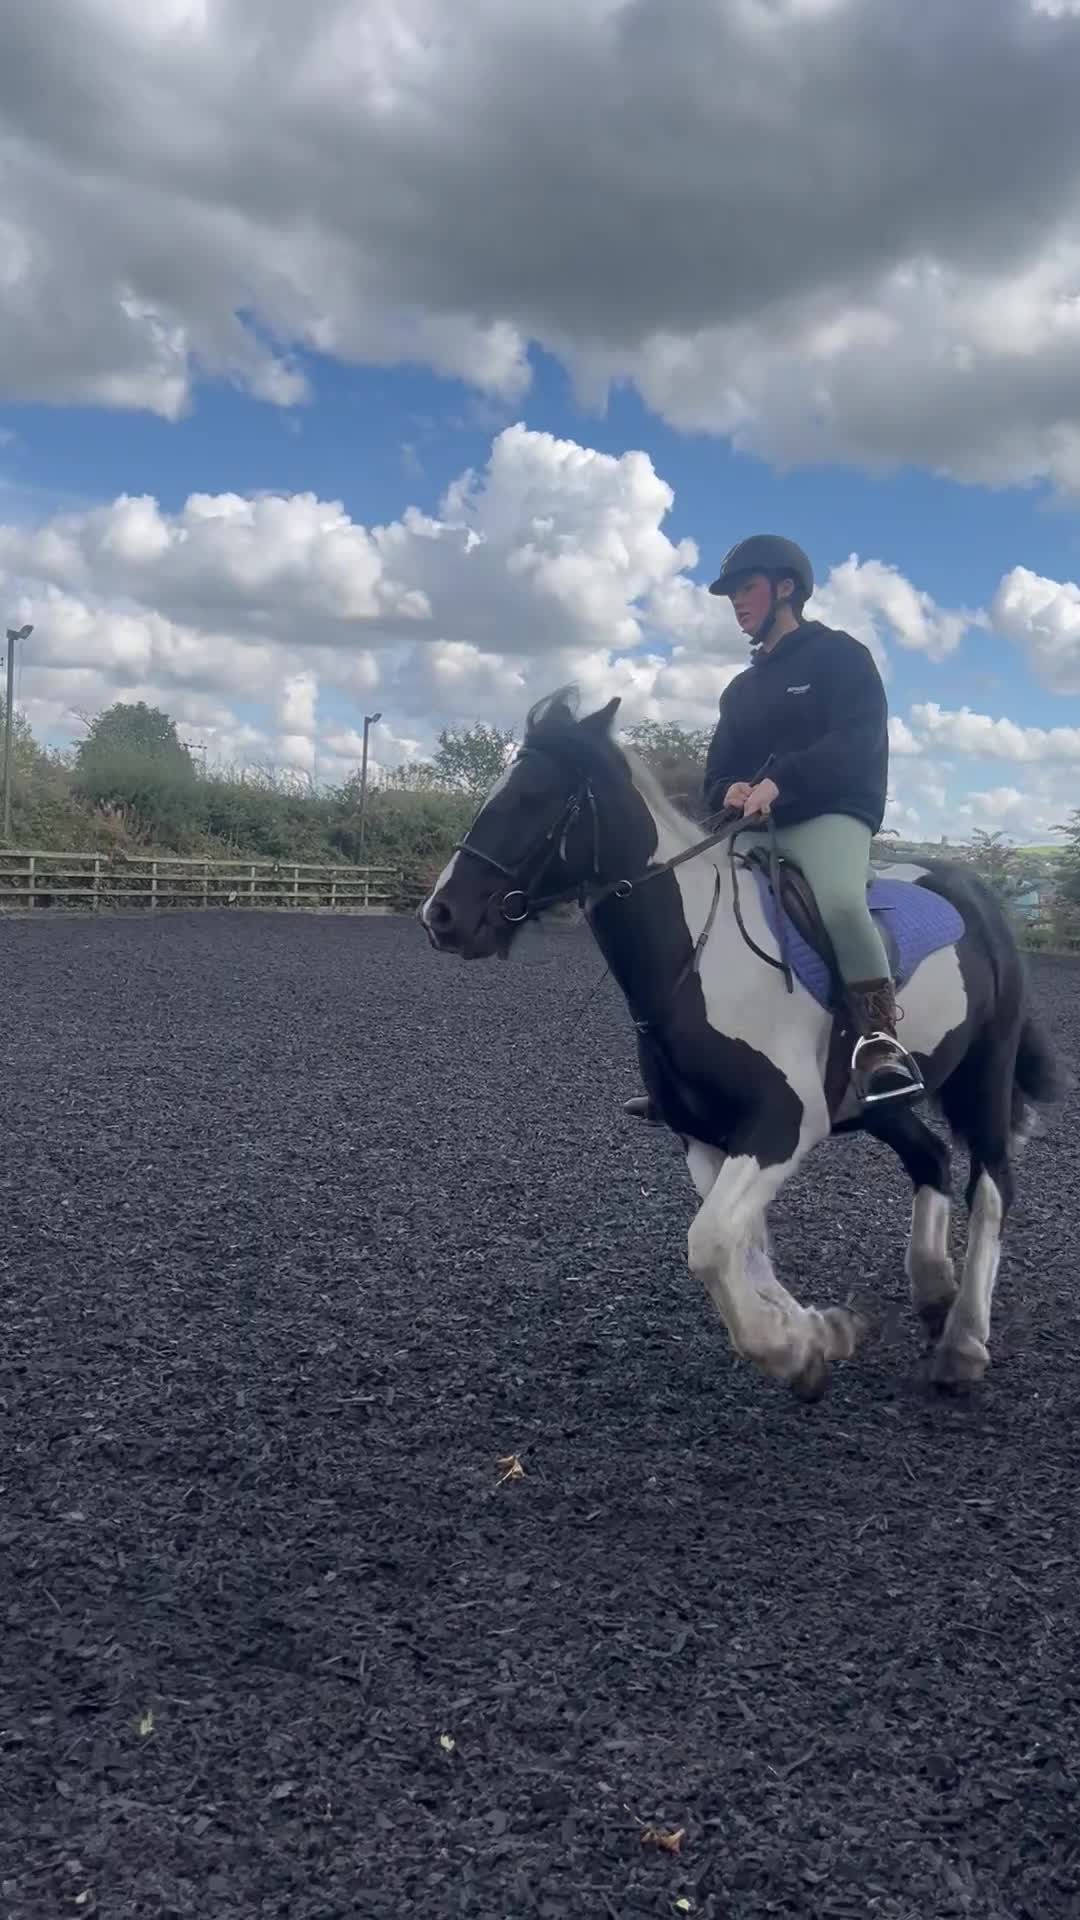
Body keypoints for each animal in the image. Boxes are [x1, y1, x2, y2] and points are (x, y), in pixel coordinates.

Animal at [418, 687, 1065, 1403]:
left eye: (534, 795)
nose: (440, 916)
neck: (700, 960)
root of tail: (977, 895)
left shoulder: (785, 1124)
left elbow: (709, 1243)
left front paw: (792, 1345)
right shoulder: (704, 1135)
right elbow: (737, 1245)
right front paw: (814, 1337)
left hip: (984, 1075)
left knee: (992, 1185)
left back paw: (964, 1342)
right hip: (879, 1101)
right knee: (931, 1158)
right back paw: (932, 1291)